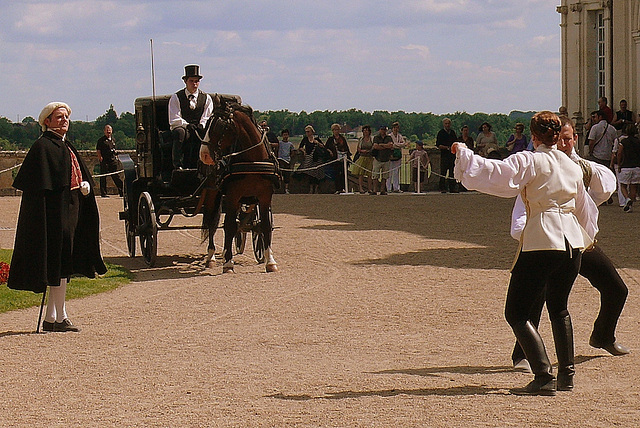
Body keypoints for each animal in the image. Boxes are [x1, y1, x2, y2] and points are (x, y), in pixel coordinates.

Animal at [199, 104, 278, 272]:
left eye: (218, 126)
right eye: (207, 124)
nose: (203, 154)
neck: (253, 161)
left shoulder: (265, 196)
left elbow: (265, 225)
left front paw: (270, 261)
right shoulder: (232, 196)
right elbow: (229, 226)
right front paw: (228, 263)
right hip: (212, 194)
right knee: (212, 223)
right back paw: (211, 256)